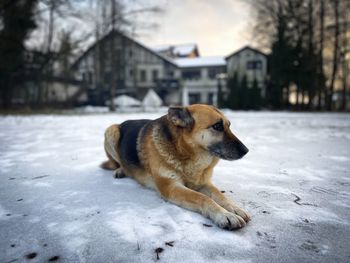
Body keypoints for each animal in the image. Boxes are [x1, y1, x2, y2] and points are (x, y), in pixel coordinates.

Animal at [100, 105, 250, 231]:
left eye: (229, 126)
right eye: (217, 126)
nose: (246, 150)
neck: (183, 152)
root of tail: (123, 122)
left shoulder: (203, 183)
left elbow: (220, 195)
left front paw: (235, 208)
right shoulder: (171, 187)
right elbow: (203, 198)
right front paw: (225, 215)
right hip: (111, 131)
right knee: (118, 162)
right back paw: (120, 170)